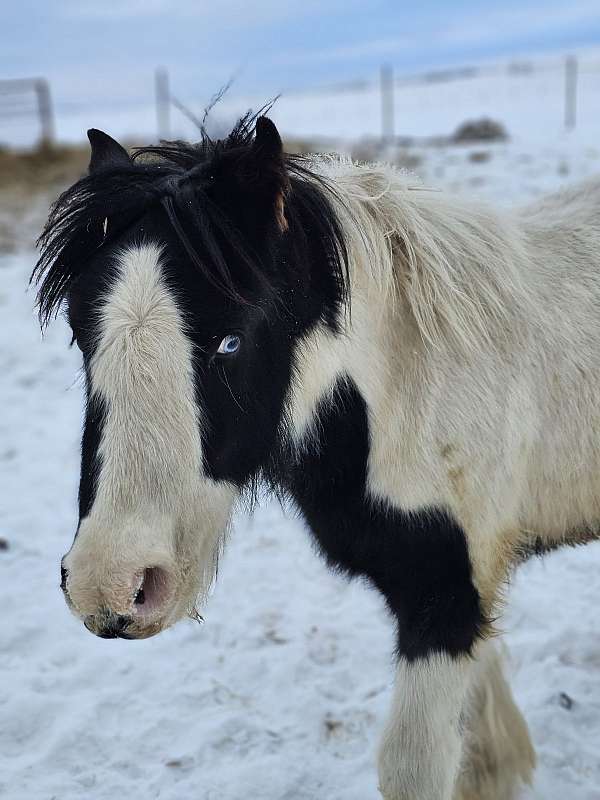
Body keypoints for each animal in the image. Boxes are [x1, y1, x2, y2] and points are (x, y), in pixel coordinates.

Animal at [32, 114, 600, 800]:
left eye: (231, 340)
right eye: (80, 334)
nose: (110, 583)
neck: (413, 392)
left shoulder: (445, 596)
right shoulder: (472, 588)